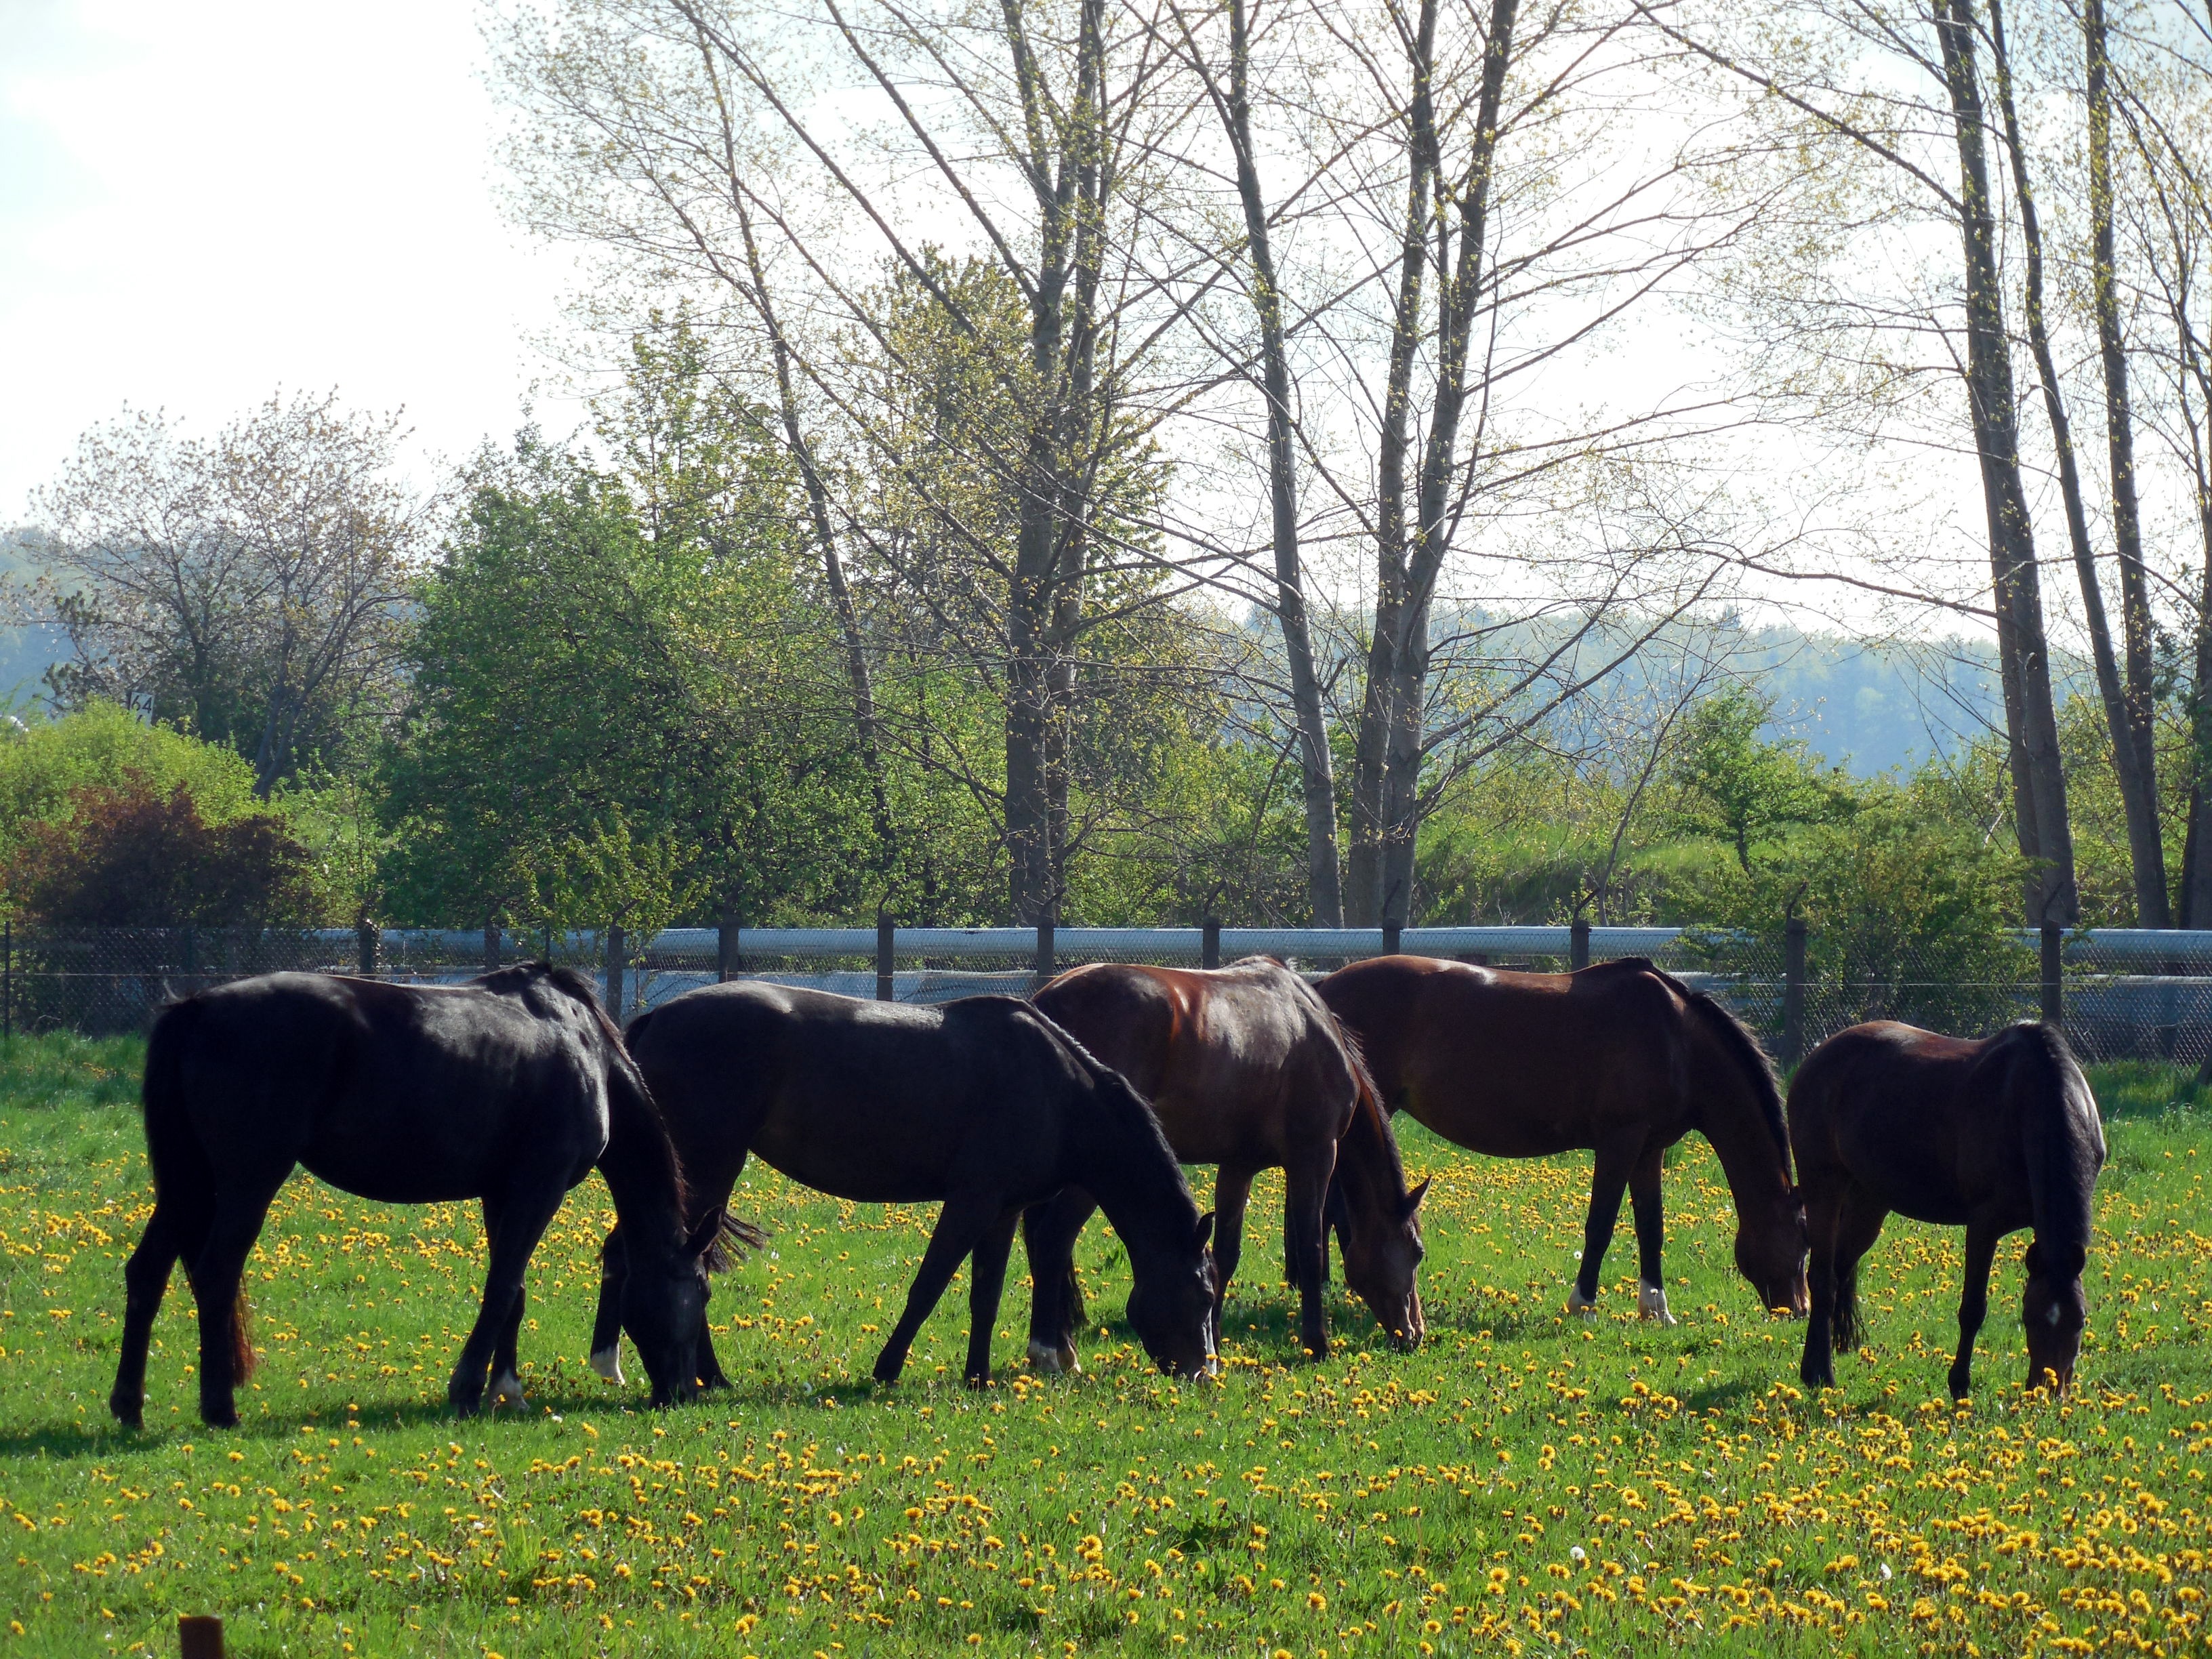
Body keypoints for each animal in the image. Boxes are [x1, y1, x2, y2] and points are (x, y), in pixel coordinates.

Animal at [112, 968, 716, 1433]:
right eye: (702, 1293)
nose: (685, 1392)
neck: (585, 1048)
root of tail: (196, 1008)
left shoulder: (501, 1190)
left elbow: (514, 1291)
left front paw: (506, 1388)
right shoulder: (539, 1185)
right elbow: (503, 1287)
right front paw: (468, 1389)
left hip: (188, 1183)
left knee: (148, 1272)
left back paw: (129, 1407)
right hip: (246, 1180)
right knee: (214, 1273)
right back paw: (220, 1409)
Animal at [597, 986, 1221, 1389]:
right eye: (1205, 1296)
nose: (1203, 1372)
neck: (1057, 1090)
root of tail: (654, 1019)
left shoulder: (1001, 1211)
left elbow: (985, 1296)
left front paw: (978, 1378)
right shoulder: (971, 1202)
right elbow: (930, 1284)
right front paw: (888, 1368)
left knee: (626, 1253)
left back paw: (619, 1364)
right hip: (707, 1167)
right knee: (674, 1260)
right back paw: (704, 1375)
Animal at [1021, 960, 1433, 1362]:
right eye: (1417, 1253)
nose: (1414, 1333)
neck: (1313, 1028)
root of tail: (1046, 1004)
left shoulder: (1238, 1166)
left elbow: (1226, 1255)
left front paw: (1214, 1338)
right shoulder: (1314, 1157)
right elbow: (1311, 1250)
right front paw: (1317, 1344)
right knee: (1052, 1240)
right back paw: (1053, 1352)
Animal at [1318, 960, 1805, 1327]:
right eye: (1803, 1241)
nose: (1799, 1310)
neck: (1677, 1040)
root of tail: (1324, 988)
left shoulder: (1650, 1150)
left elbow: (1652, 1227)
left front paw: (1656, 1310)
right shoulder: (1620, 1142)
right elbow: (1601, 1226)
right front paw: (1583, 1305)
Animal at [1787, 1026, 2097, 1406]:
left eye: (2080, 1320)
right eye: (2030, 1319)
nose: (2048, 1391)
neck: (2029, 1100)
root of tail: (1818, 1055)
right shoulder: (1984, 1225)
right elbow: (1973, 1309)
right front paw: (1960, 1384)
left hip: (1868, 1202)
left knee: (1839, 1270)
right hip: (1823, 1185)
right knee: (1822, 1278)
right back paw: (1818, 1373)